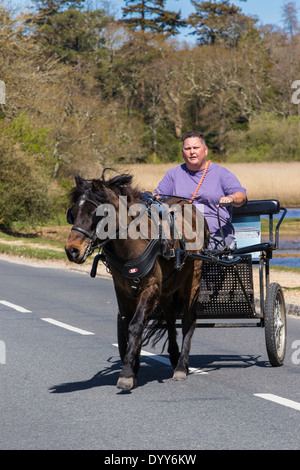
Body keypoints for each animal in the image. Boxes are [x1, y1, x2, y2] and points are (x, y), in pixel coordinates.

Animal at [64, 169, 207, 390]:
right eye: (72, 213)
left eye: (97, 213)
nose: (72, 250)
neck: (132, 242)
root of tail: (189, 204)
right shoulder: (123, 290)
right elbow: (127, 325)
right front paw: (133, 365)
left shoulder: (150, 288)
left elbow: (136, 325)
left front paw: (127, 373)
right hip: (167, 288)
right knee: (170, 318)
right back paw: (174, 357)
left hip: (192, 281)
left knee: (188, 321)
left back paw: (181, 366)